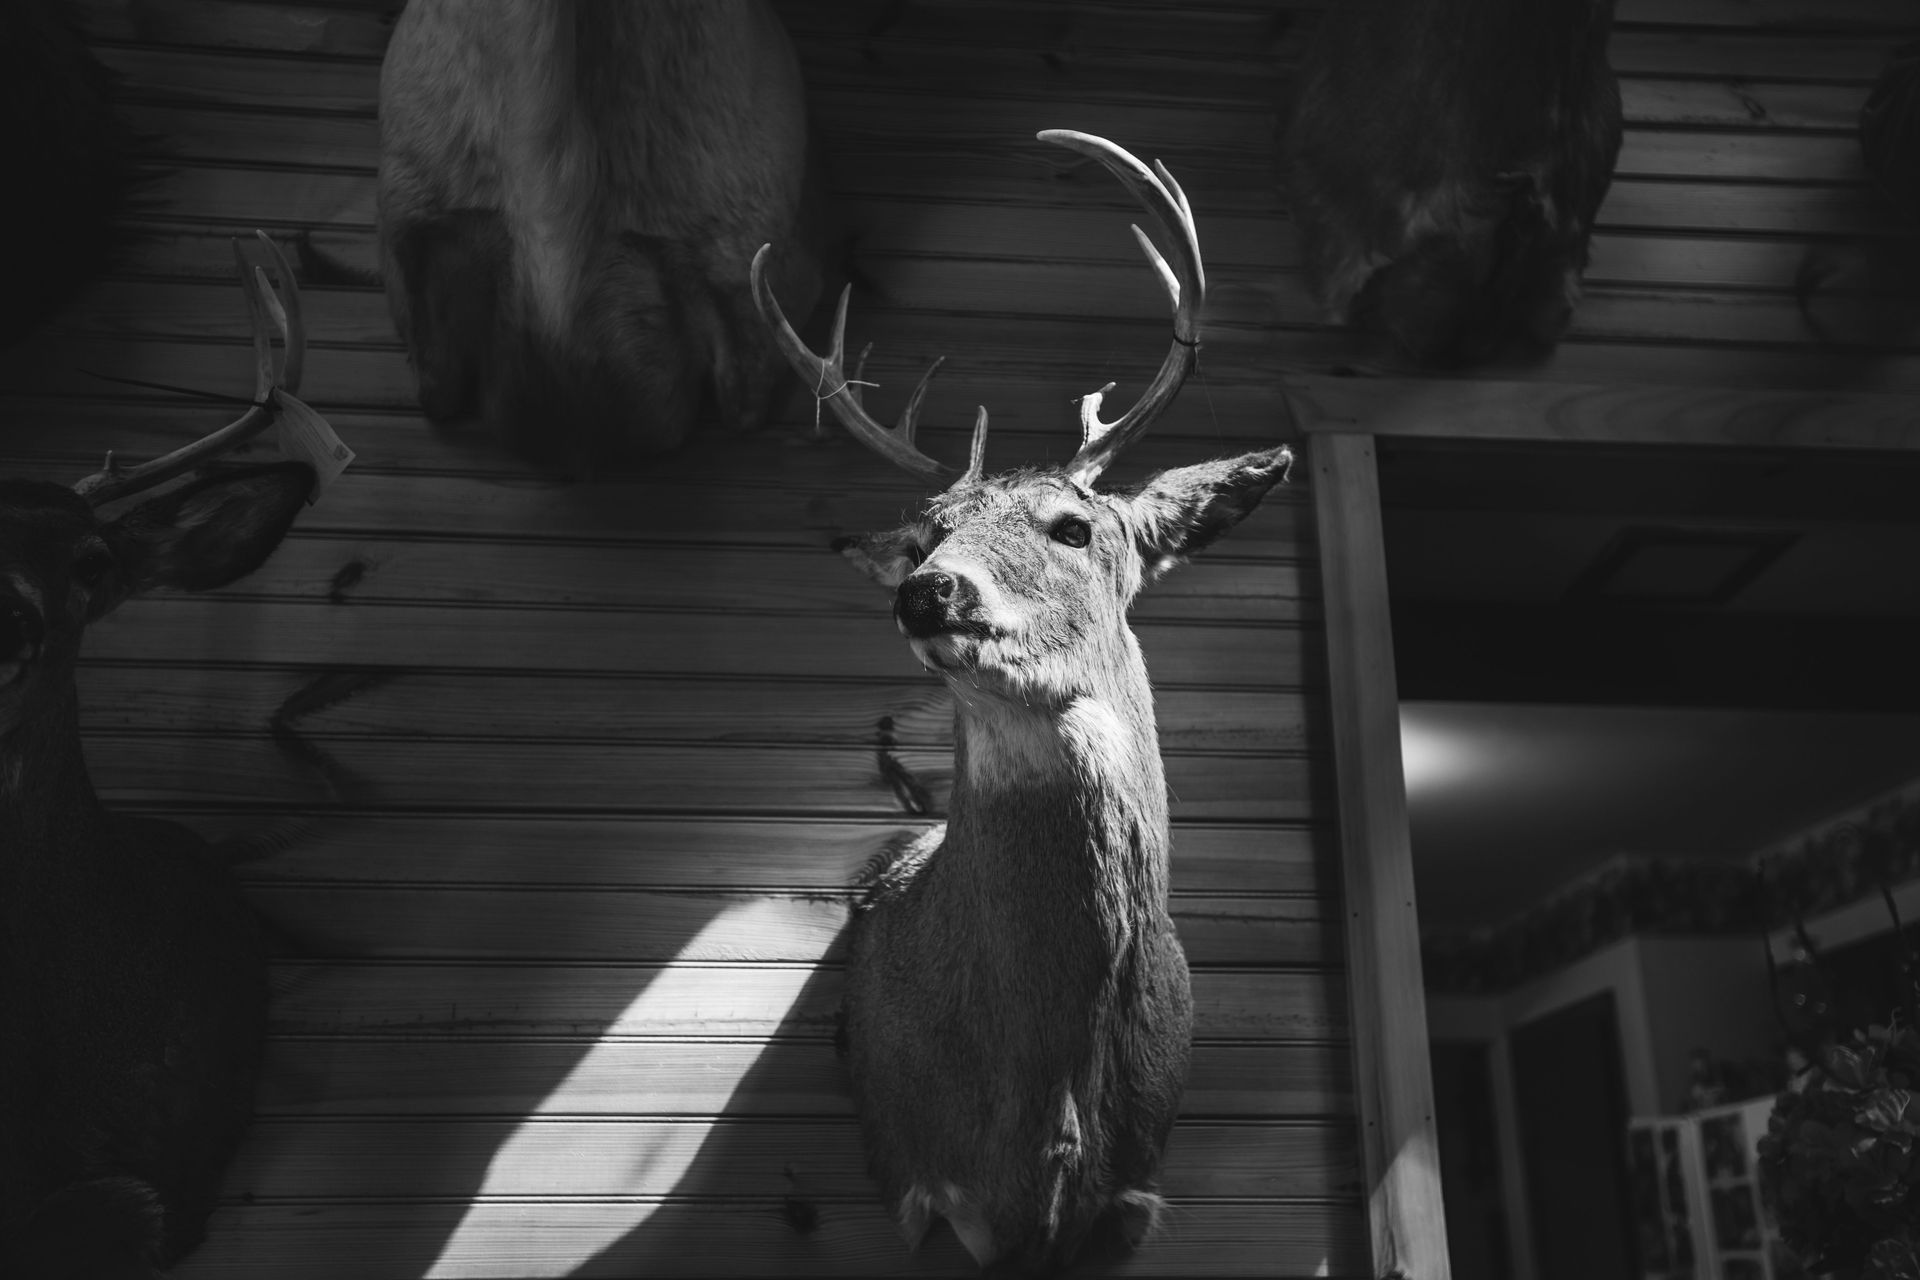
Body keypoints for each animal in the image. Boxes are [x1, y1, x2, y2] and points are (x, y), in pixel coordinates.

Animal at [753, 130, 1294, 1274]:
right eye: (924, 535)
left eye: (1073, 527)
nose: (928, 590)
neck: (1051, 1078)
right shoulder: (927, 1191)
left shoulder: (1133, 1198)